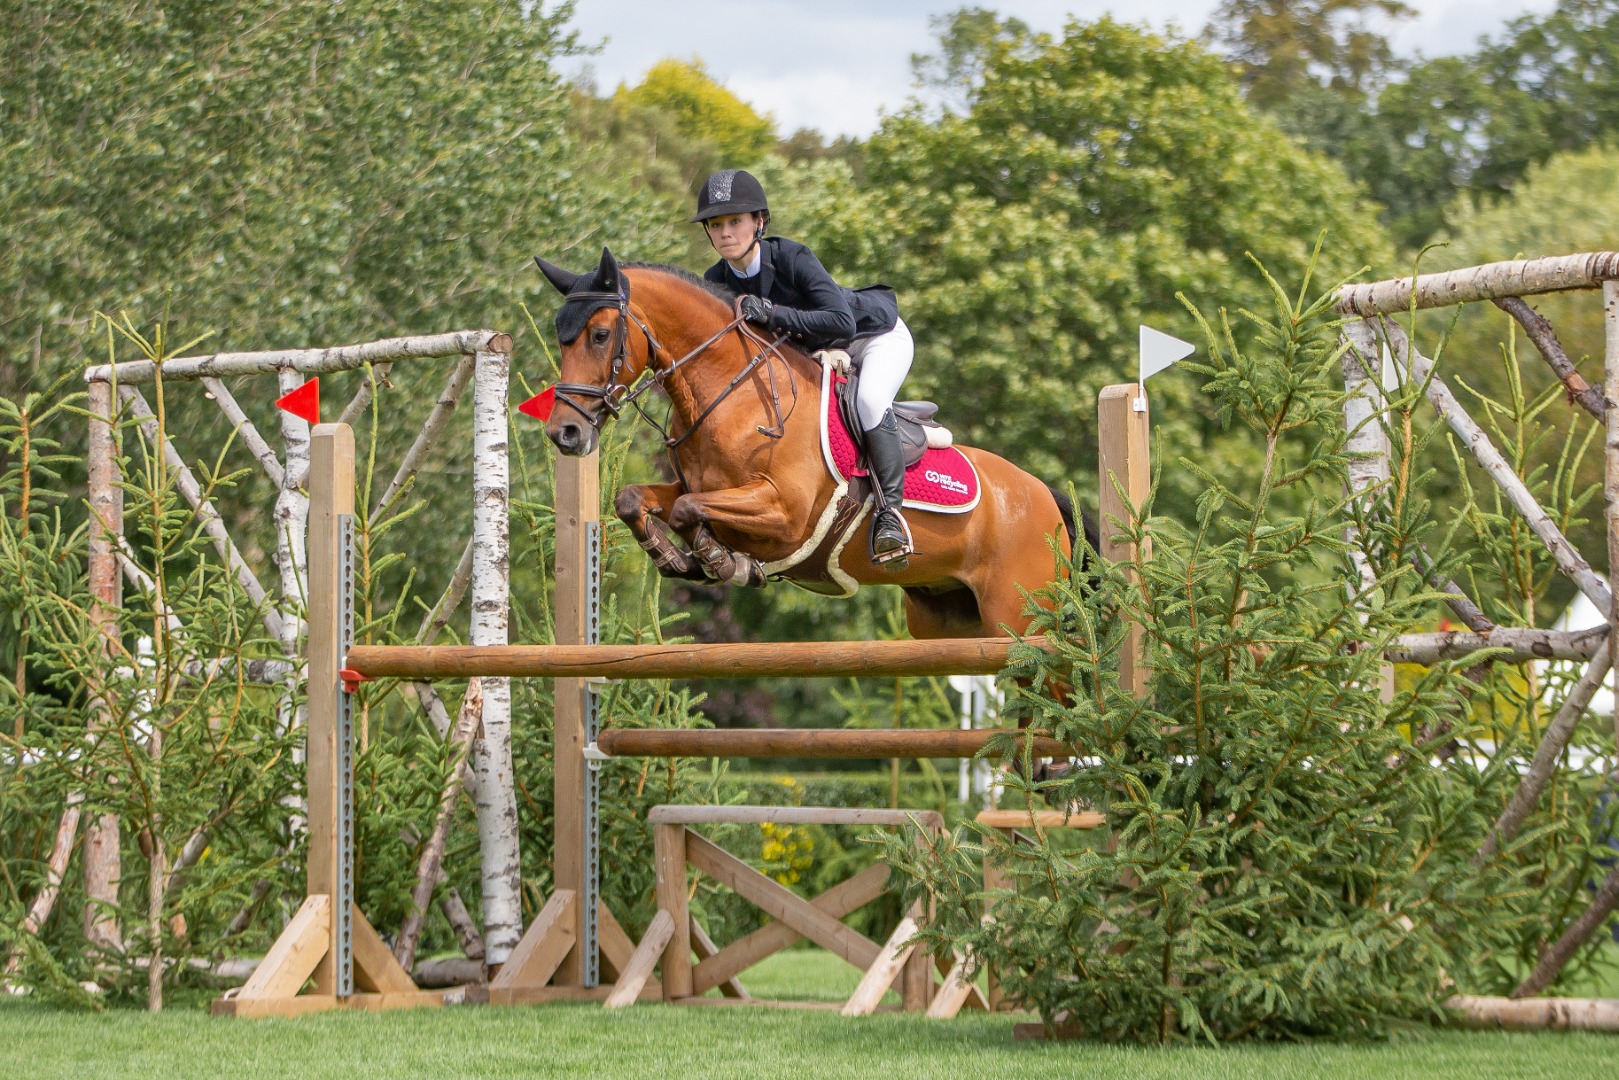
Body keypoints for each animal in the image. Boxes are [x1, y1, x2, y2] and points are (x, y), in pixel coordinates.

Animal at [532, 246, 1090, 641]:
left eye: (600, 335)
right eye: (560, 337)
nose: (565, 433)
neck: (735, 394)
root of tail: (1043, 496)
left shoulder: (783, 514)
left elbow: (692, 510)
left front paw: (719, 562)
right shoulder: (701, 488)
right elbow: (635, 499)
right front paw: (674, 559)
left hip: (1017, 615)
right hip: (946, 619)